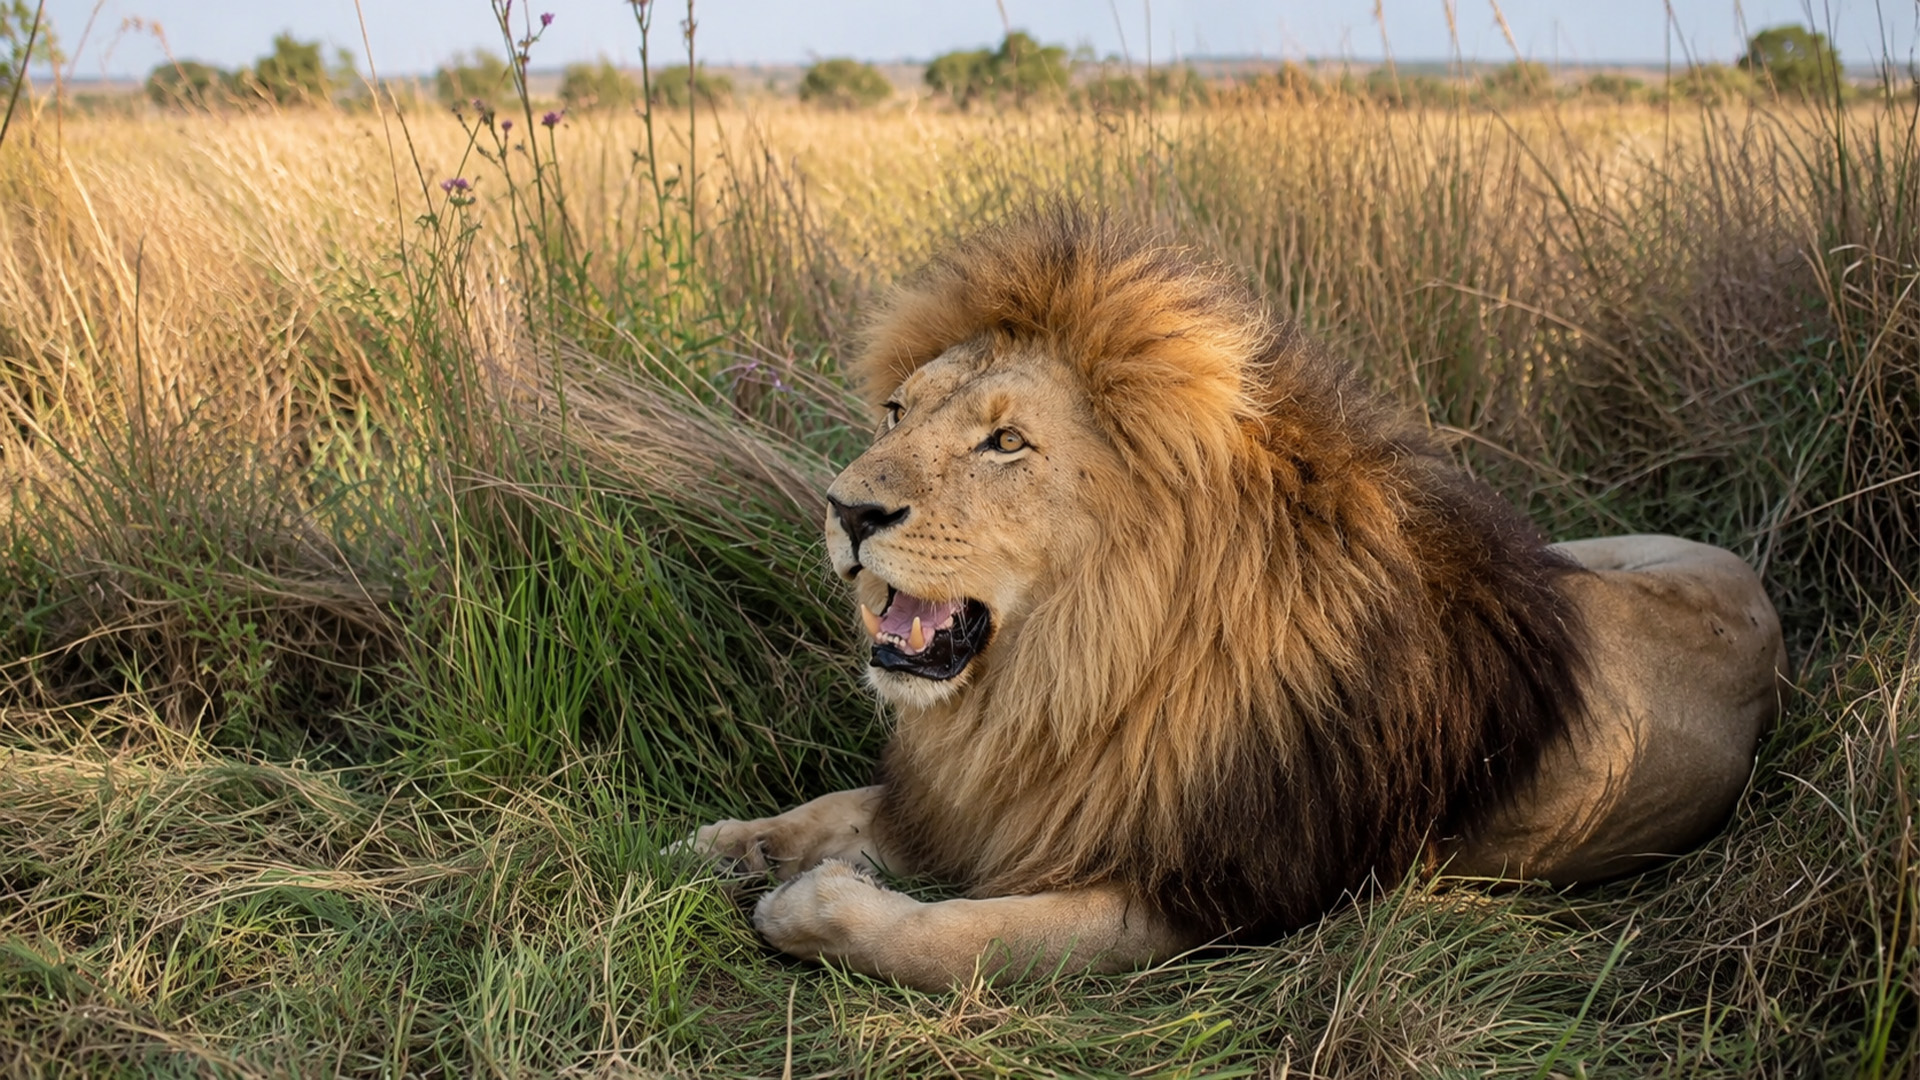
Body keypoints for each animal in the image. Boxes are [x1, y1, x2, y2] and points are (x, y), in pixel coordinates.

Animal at [687, 207, 1788, 991]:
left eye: (1005, 442)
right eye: (895, 411)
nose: (846, 510)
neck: (1078, 673)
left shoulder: (1205, 897)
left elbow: (966, 941)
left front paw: (811, 909)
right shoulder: (1006, 798)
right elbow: (842, 806)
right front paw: (733, 843)